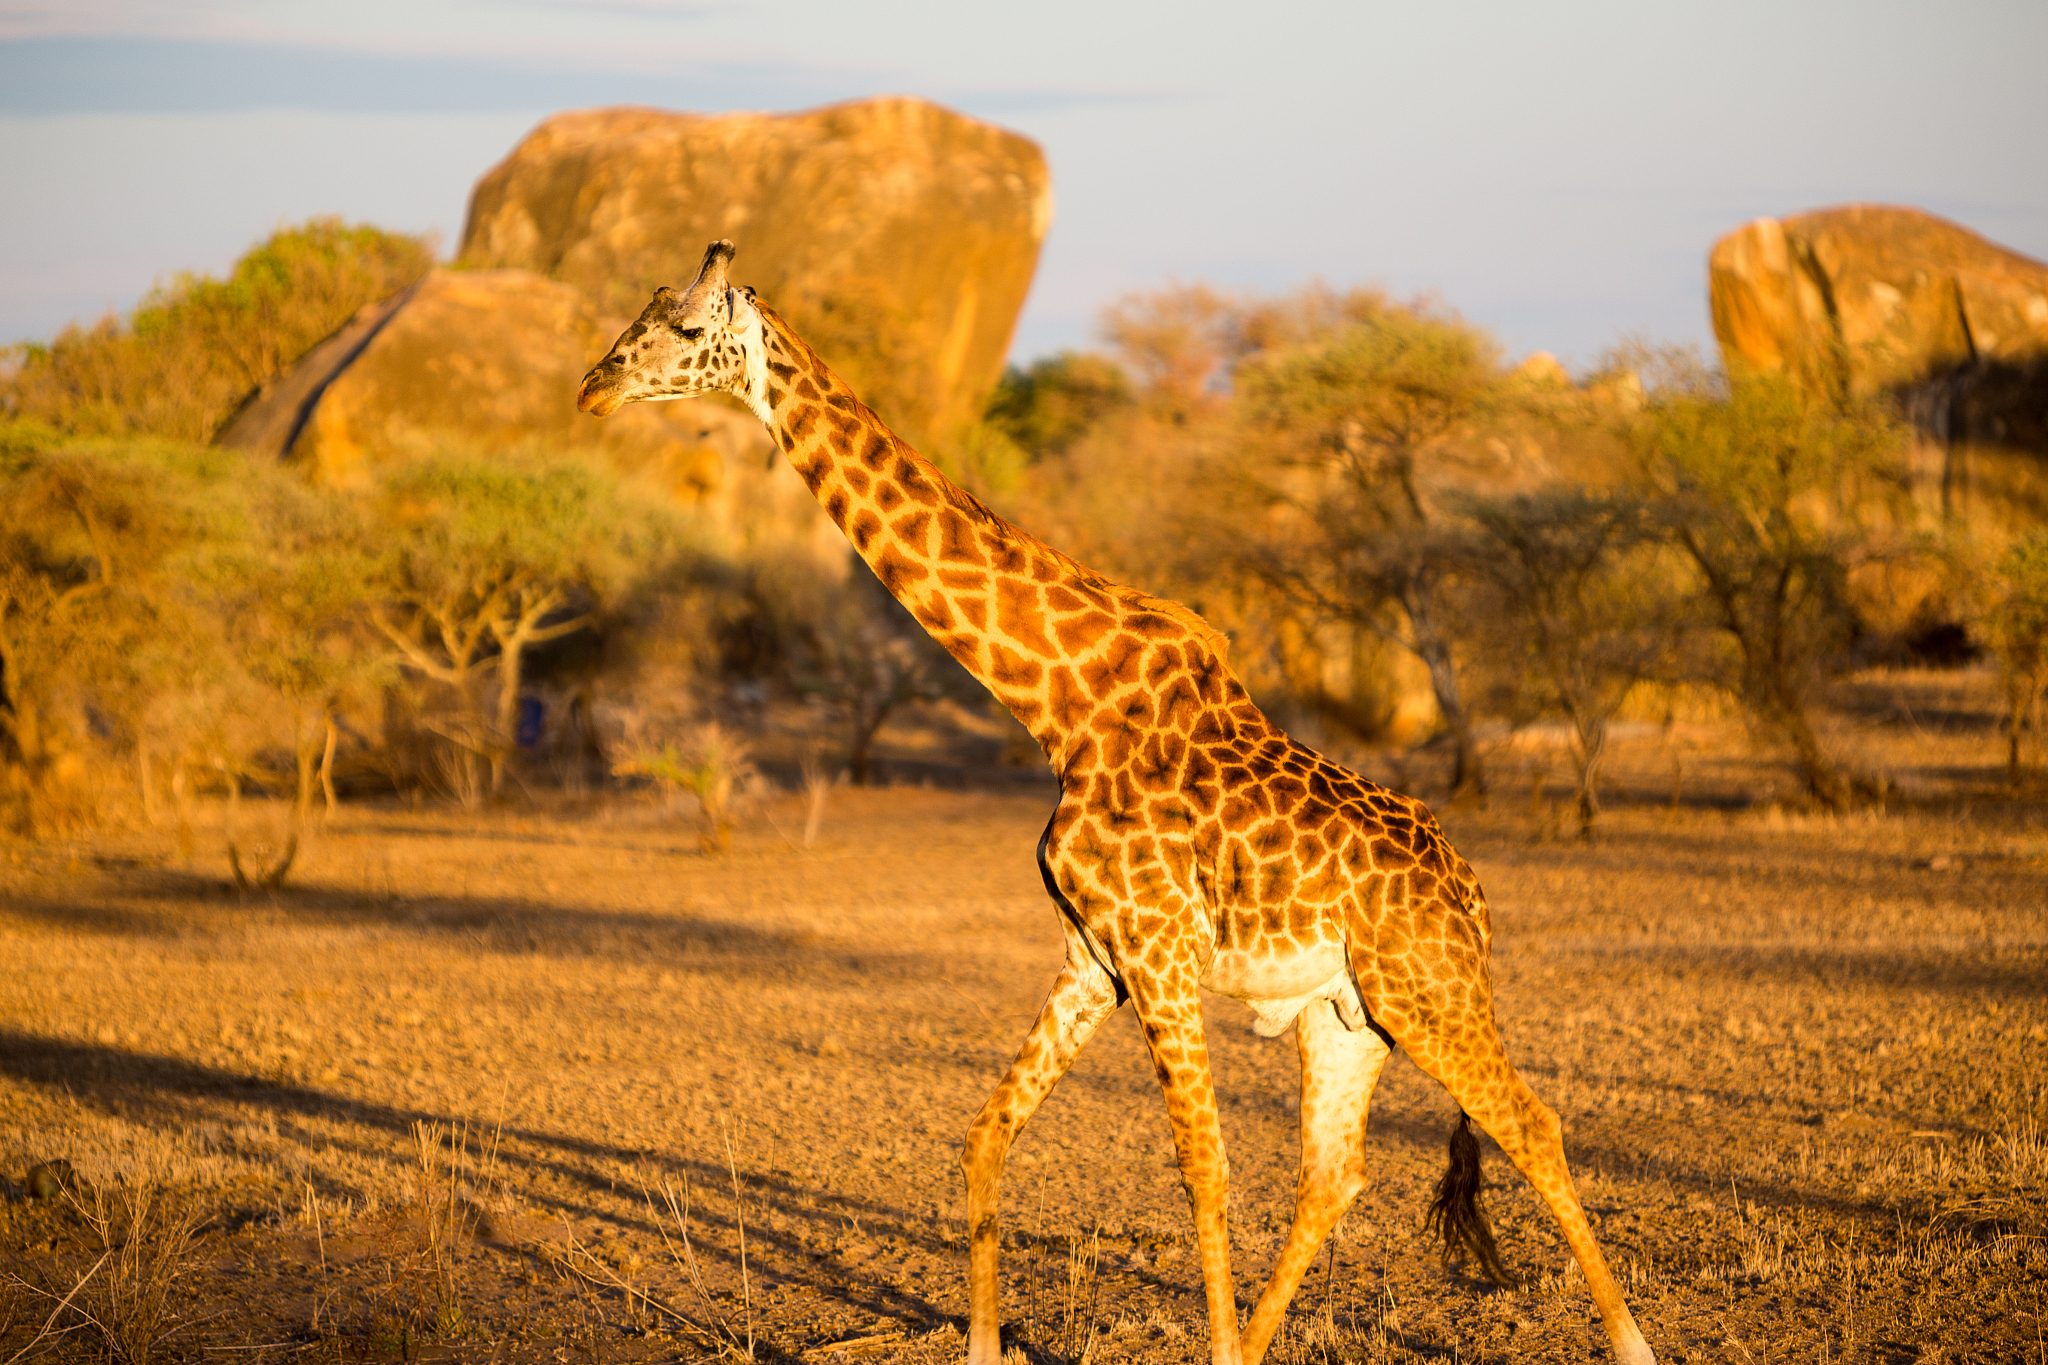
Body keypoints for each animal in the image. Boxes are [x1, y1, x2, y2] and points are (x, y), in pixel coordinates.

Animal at [577, 241, 1657, 1365]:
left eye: (680, 331)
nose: (593, 386)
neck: (1059, 704)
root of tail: (1473, 900)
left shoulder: (1156, 949)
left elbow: (1204, 1171)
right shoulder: (1092, 953)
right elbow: (986, 1135)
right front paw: (982, 1346)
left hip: (1426, 991)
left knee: (1531, 1126)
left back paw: (1631, 1342)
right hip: (1346, 1013)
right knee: (1332, 1175)